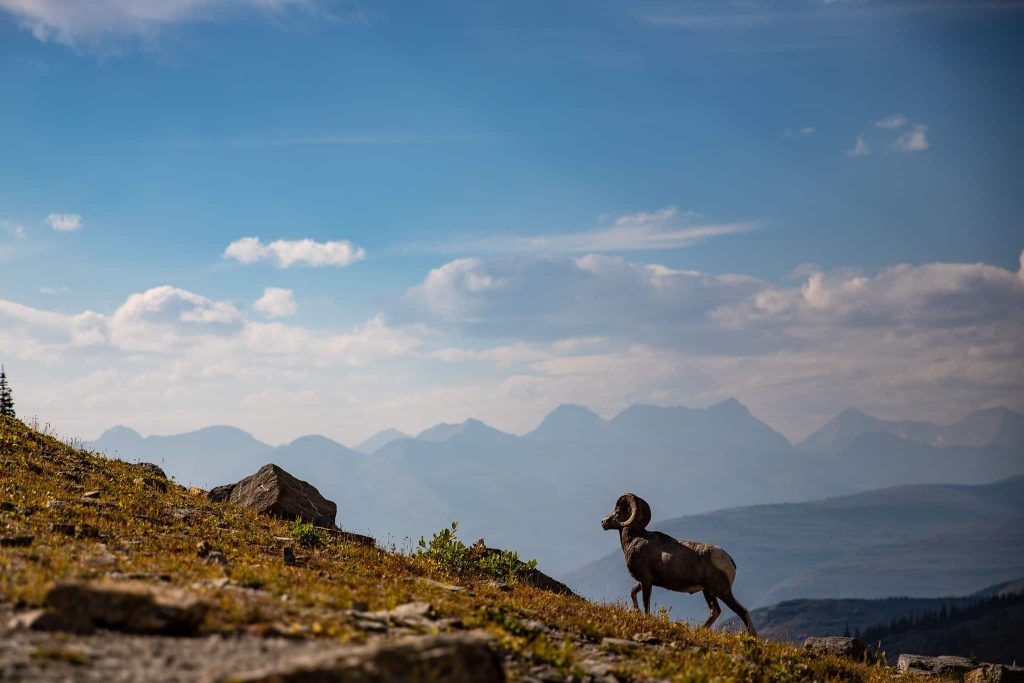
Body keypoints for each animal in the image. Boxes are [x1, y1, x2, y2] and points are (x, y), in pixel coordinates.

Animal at [601, 492, 757, 635]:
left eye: (617, 512)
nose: (603, 522)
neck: (634, 540)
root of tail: (728, 559)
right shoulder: (644, 581)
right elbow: (633, 593)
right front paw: (636, 611)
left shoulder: (646, 581)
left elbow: (646, 604)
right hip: (708, 591)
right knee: (715, 611)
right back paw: (699, 630)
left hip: (721, 590)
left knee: (741, 611)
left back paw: (752, 638)